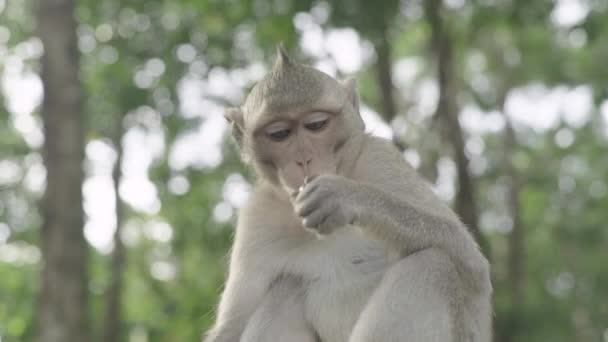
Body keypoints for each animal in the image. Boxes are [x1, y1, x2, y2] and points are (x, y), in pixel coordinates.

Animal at [202, 46, 492, 342]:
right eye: (279, 133)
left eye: (316, 124)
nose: (303, 159)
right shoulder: (256, 218)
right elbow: (231, 329)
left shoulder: (381, 158)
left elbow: (473, 267)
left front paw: (343, 196)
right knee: (287, 286)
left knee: (433, 263)